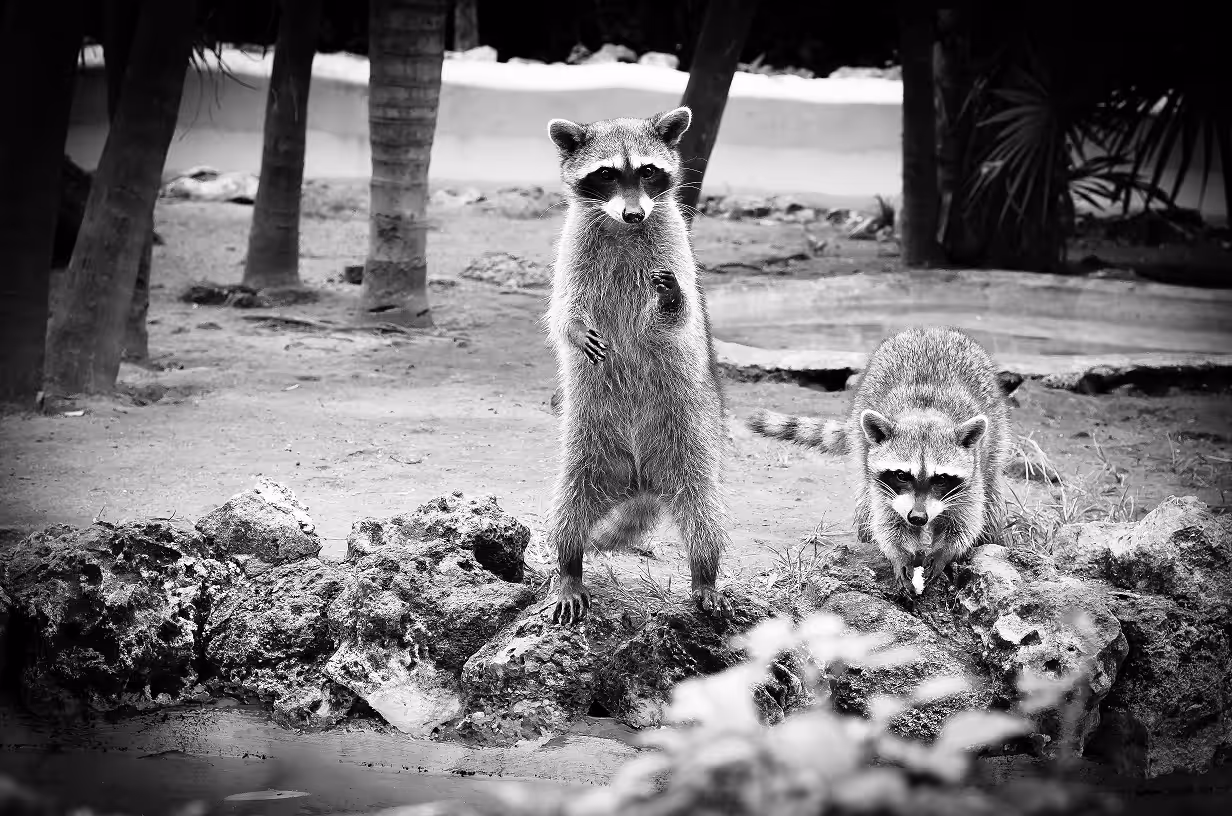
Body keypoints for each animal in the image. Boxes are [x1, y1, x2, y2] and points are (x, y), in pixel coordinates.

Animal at [542, 106, 732, 625]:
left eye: (648, 171)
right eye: (606, 174)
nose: (635, 213)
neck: (622, 228)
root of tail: (640, 480)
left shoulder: (675, 245)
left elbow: (680, 313)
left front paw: (671, 301)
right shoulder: (573, 249)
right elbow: (561, 311)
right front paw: (573, 328)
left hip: (689, 443)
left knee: (704, 513)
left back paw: (705, 573)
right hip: (587, 450)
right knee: (568, 511)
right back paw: (569, 568)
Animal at [747, 326, 1010, 593]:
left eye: (941, 478)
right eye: (902, 475)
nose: (918, 518)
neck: (925, 413)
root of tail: (931, 330)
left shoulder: (970, 478)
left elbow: (965, 521)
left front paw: (945, 552)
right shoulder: (884, 485)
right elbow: (887, 521)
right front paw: (899, 553)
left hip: (997, 435)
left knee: (992, 501)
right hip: (861, 433)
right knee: (866, 506)